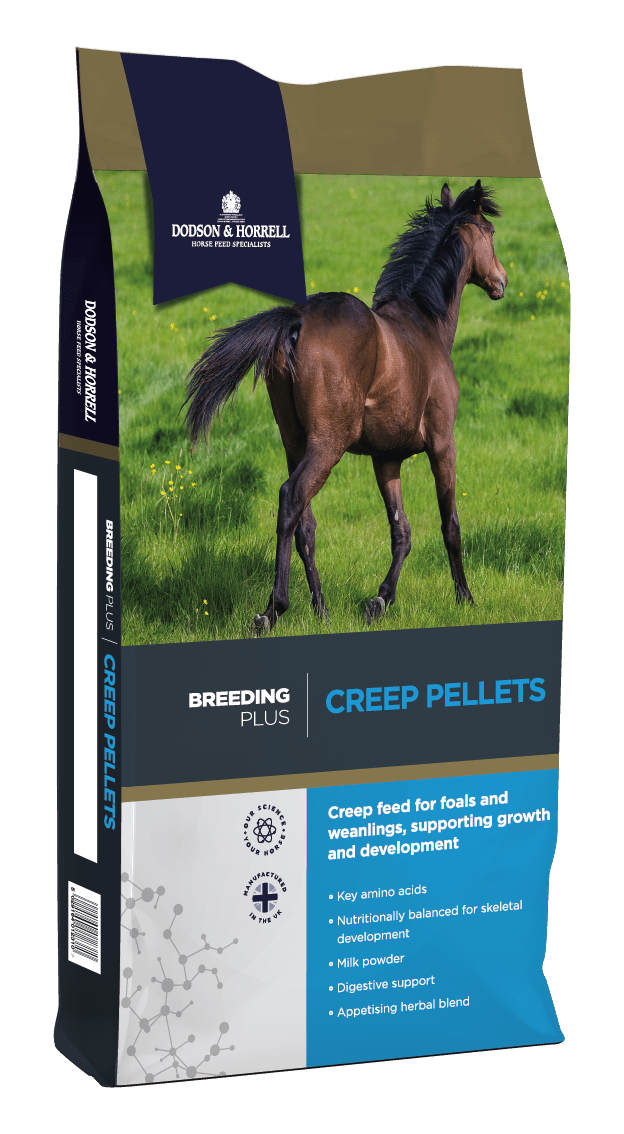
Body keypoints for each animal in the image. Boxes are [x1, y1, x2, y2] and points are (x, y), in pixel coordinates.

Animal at [185, 180, 506, 633]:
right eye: (490, 232)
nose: (501, 281)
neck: (424, 324)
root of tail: (297, 320)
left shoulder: (386, 459)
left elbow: (402, 533)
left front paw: (380, 600)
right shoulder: (444, 443)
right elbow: (451, 524)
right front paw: (465, 597)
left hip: (295, 443)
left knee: (305, 524)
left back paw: (321, 609)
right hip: (328, 444)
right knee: (290, 499)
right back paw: (273, 609)